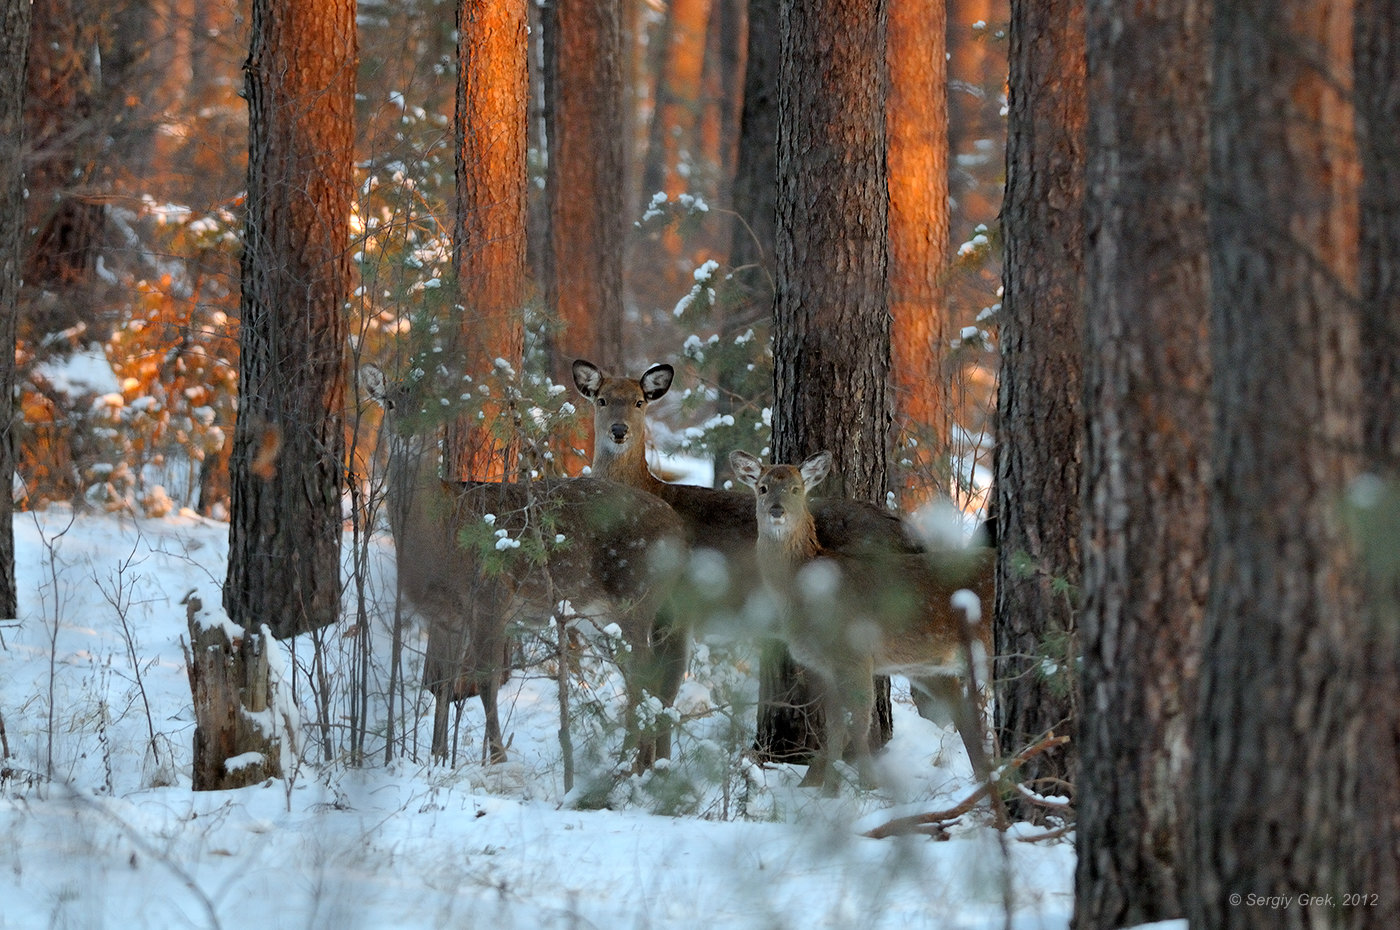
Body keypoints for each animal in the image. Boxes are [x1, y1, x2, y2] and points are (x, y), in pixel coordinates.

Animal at [361, 364, 688, 767]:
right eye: (389, 403)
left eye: (428, 406)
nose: (407, 434)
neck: (440, 536)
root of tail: (678, 528)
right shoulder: (444, 613)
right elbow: (439, 682)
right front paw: (436, 758)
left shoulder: (492, 593)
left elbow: (485, 680)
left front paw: (497, 757)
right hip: (605, 614)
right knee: (640, 678)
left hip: (638, 596)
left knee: (647, 677)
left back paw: (633, 763)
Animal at [733, 448, 996, 789]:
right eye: (763, 488)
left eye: (795, 489)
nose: (777, 511)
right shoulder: (824, 665)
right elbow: (834, 727)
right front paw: (823, 788)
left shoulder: (855, 652)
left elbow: (857, 722)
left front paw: (867, 784)